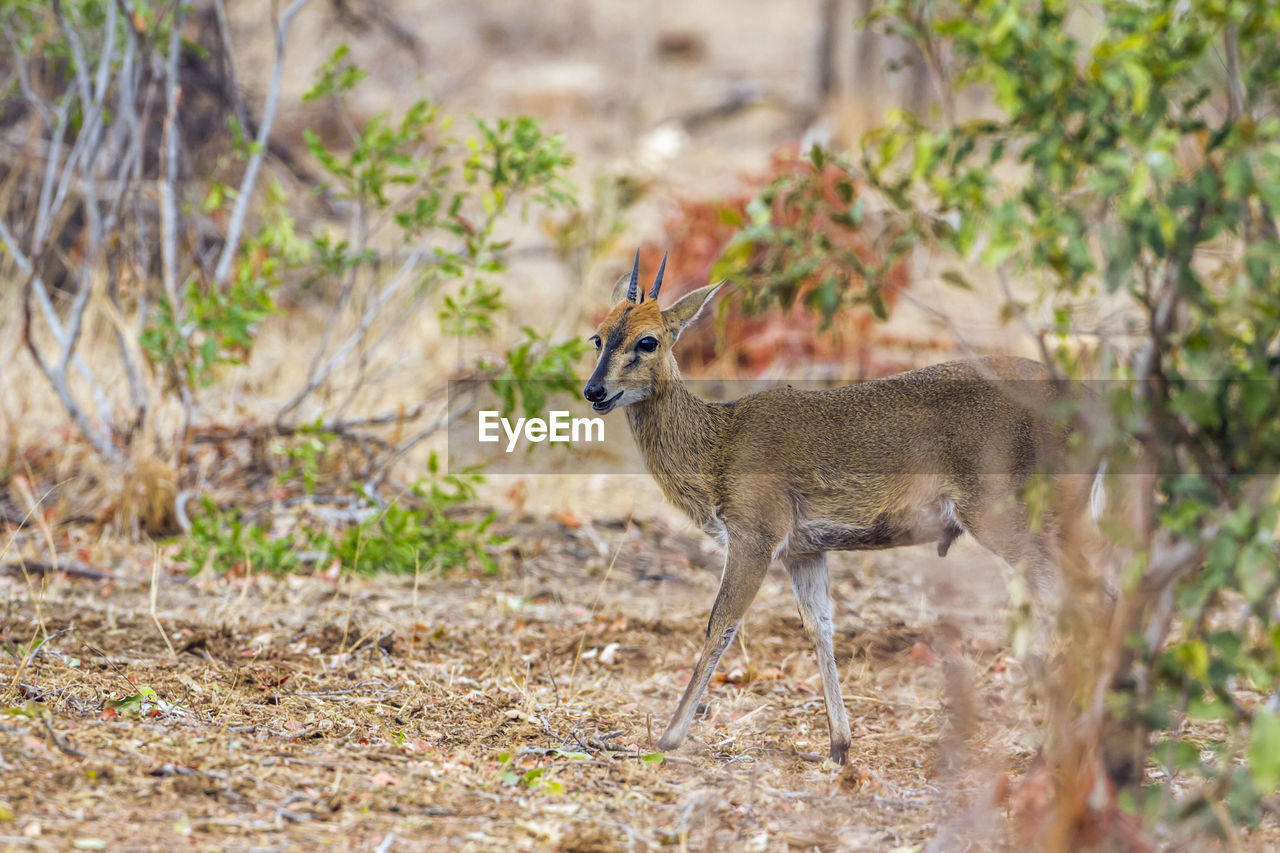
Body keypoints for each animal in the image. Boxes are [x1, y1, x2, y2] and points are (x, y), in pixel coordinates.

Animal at [586, 251, 1095, 758]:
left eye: (648, 340)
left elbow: (721, 624)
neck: (718, 448)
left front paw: (668, 737)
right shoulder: (803, 549)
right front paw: (839, 743)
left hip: (1008, 514)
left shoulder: (755, 533)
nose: (594, 391)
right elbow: (820, 627)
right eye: (598, 336)